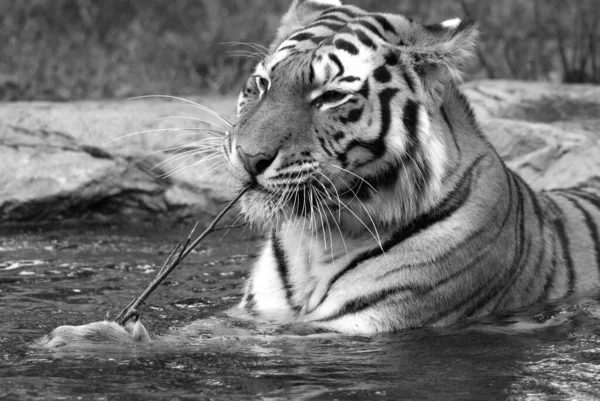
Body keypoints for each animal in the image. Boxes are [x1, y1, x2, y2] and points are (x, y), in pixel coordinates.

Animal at [38, 0, 600, 346]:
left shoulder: (365, 324)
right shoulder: (257, 311)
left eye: (330, 96)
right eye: (262, 84)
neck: (320, 235)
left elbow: (205, 339)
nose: (248, 157)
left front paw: (89, 339)